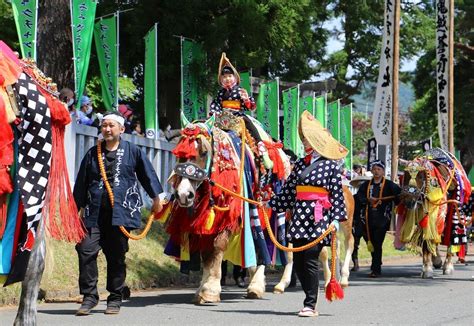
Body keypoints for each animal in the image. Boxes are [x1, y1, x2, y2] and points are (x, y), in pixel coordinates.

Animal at [398, 148, 472, 278]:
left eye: (421, 177)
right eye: (405, 176)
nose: (409, 201)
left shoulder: (437, 215)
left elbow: (431, 239)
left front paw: (428, 269)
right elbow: (426, 240)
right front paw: (429, 264)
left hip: (454, 212)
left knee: (451, 237)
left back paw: (448, 266)